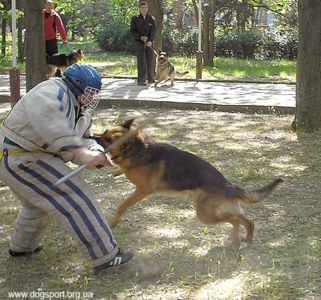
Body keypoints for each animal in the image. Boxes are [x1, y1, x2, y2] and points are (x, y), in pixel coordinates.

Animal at [95, 119, 282, 248]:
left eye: (106, 139)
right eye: (103, 133)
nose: (91, 136)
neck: (138, 149)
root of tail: (229, 185)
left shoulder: (142, 190)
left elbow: (122, 205)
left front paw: (113, 221)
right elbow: (120, 169)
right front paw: (115, 171)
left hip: (204, 214)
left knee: (235, 220)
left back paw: (236, 237)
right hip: (220, 210)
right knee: (247, 221)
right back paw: (247, 238)